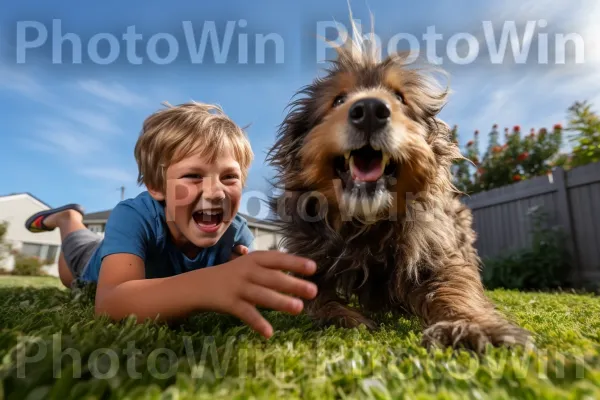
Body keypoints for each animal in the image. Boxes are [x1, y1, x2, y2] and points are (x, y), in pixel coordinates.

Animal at [266, 31, 528, 352]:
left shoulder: (437, 254)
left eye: (401, 98)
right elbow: (315, 299)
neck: (365, 225)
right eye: (338, 100)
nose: (369, 110)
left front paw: (472, 326)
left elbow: (455, 288)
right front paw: (344, 317)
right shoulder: (307, 260)